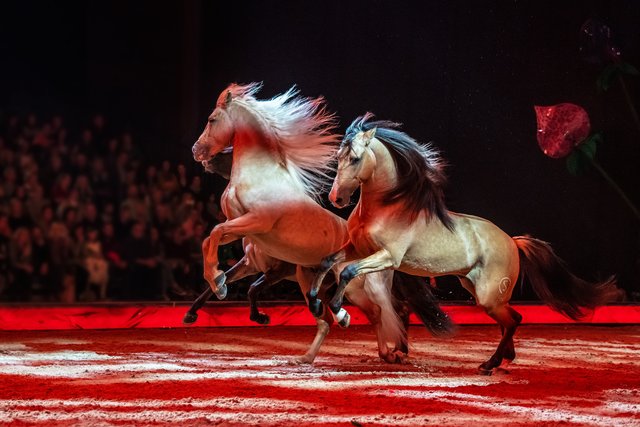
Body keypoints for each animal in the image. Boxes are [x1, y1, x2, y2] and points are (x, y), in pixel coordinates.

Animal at [191, 84, 452, 363]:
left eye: (212, 119)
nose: (198, 152)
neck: (261, 176)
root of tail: (380, 246)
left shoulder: (256, 223)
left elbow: (216, 234)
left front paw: (217, 282)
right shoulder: (241, 233)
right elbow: (211, 239)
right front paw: (216, 285)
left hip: (357, 287)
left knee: (379, 312)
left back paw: (384, 349)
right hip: (316, 280)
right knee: (352, 314)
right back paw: (318, 353)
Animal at [308, 113, 620, 375]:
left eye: (355, 158)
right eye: (338, 156)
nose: (336, 198)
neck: (386, 207)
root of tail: (512, 241)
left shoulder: (386, 257)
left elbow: (348, 272)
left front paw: (341, 313)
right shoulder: (356, 248)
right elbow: (327, 262)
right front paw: (315, 303)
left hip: (488, 296)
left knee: (514, 319)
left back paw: (490, 364)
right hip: (478, 290)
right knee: (511, 320)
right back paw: (504, 359)